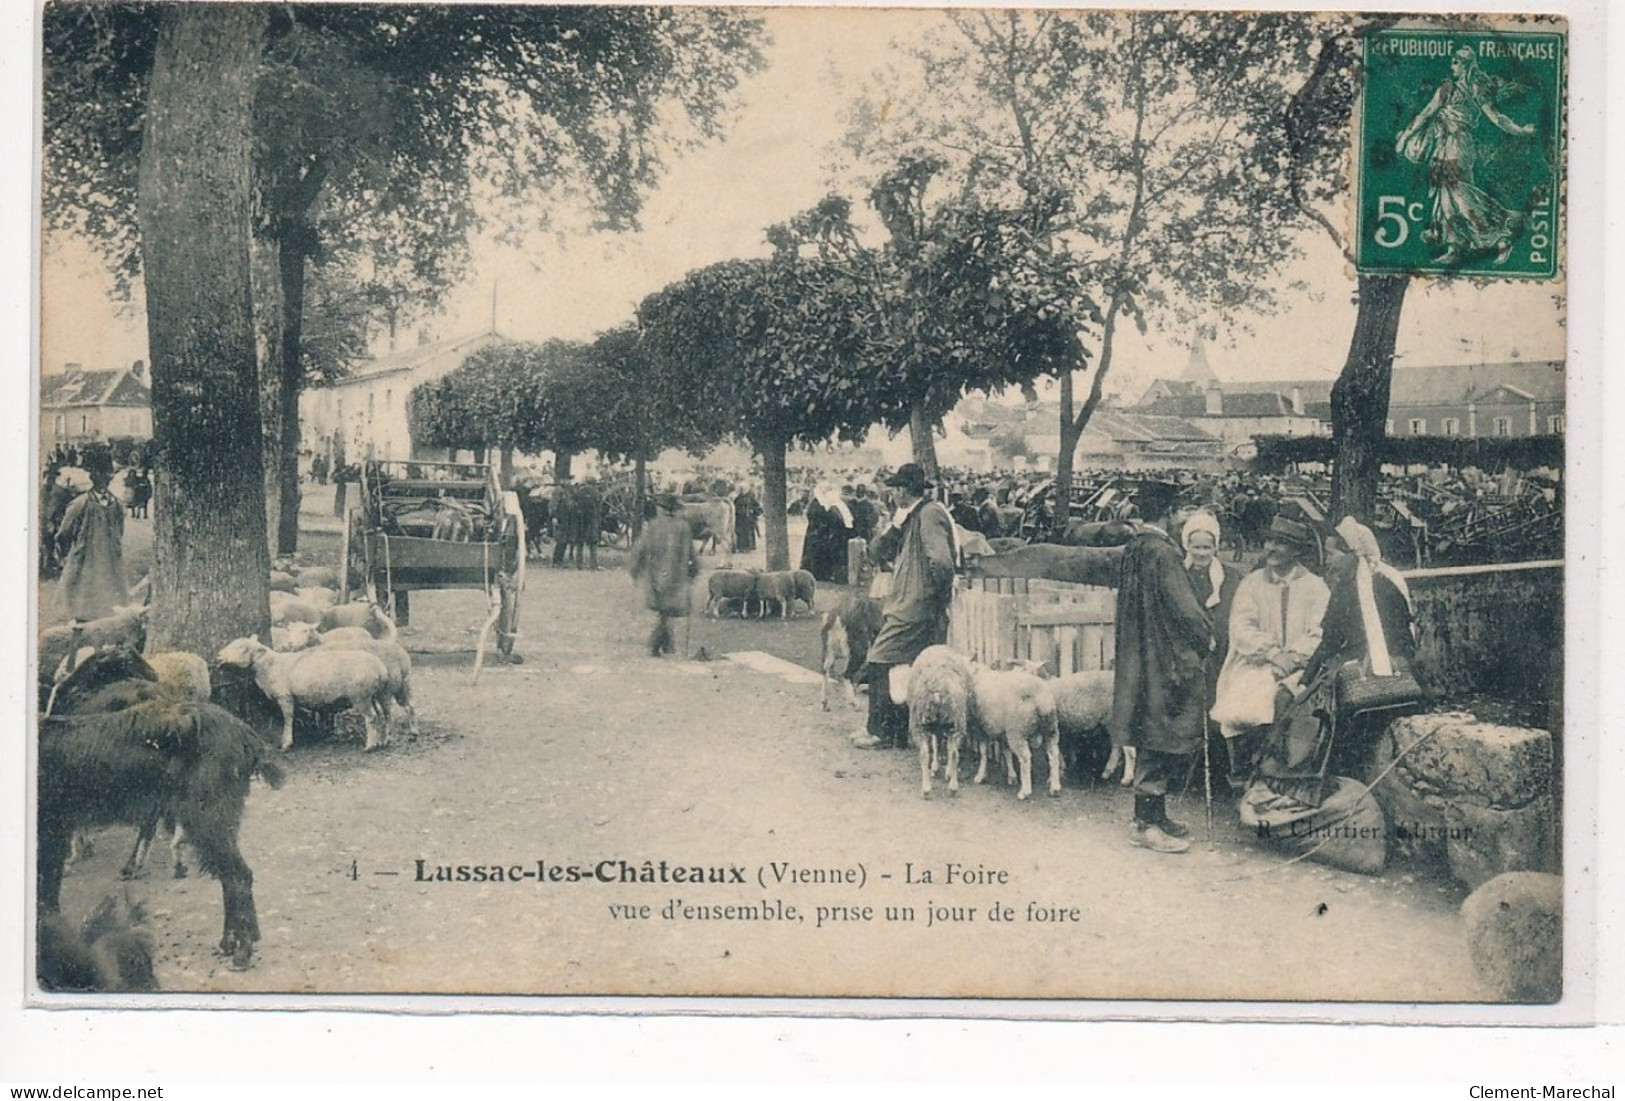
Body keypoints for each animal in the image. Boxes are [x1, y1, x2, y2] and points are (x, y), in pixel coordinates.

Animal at [39, 652, 284, 967]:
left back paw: (241, 951)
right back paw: (231, 942)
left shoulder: (51, 828)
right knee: (230, 875)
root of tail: (247, 738)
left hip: (208, 817)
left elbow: (48, 891)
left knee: (237, 875)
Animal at [216, 633, 393, 753]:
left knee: (372, 717)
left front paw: (286, 743)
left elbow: (288, 718)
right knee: (384, 715)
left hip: (360, 695)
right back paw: (383, 741)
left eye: (241, 648)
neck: (270, 666)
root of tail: (379, 668)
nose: (218, 657)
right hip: (379, 693)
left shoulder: (285, 696)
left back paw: (370, 746)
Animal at [903, 646, 975, 802]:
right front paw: (941, 769)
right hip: (955, 722)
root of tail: (938, 689)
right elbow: (940, 745)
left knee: (926, 753)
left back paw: (929, 788)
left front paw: (936, 767)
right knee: (952, 753)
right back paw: (950, 787)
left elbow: (936, 745)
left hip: (920, 724)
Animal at [962, 665, 1066, 802]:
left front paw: (980, 776)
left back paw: (1025, 792)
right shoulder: (1003, 733)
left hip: (1017, 730)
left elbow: (983, 753)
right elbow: (1007, 753)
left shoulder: (981, 728)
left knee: (1025, 757)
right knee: (1053, 755)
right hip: (1051, 729)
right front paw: (1012, 776)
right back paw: (1055, 788)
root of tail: (1041, 698)